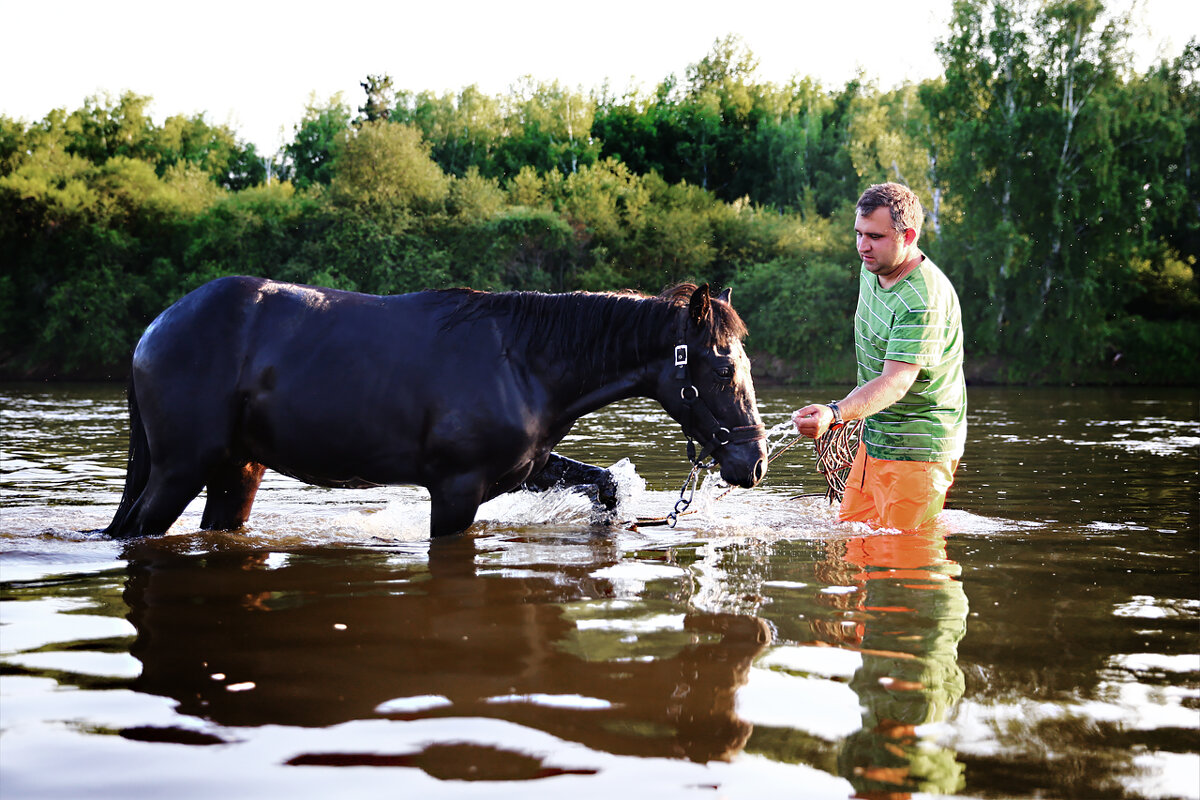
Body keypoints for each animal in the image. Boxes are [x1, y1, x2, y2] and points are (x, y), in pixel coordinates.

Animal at [103, 278, 768, 542]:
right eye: (721, 368)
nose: (753, 461)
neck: (521, 361)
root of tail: (156, 328)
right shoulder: (455, 490)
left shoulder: (527, 470)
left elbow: (603, 486)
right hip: (180, 469)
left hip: (237, 471)